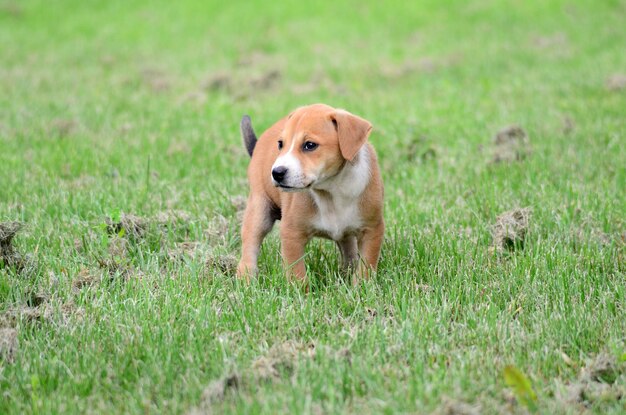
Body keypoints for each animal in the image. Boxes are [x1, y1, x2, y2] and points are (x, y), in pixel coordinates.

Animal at [234, 104, 380, 286]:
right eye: (280, 144)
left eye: (310, 145)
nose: (277, 172)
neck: (331, 190)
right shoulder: (292, 234)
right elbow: (296, 273)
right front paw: (300, 291)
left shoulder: (372, 230)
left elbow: (366, 266)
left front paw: (359, 288)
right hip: (259, 210)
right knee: (250, 245)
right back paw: (246, 279)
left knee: (348, 248)